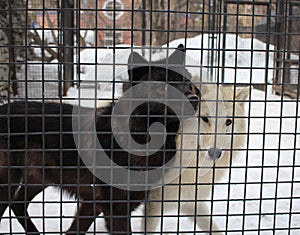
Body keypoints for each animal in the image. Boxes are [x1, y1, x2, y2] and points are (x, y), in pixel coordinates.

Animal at [0, 44, 200, 235]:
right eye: (163, 87)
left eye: (186, 83)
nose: (194, 99)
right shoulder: (116, 208)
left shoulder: (93, 204)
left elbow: (74, 230)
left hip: (39, 179)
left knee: (17, 204)